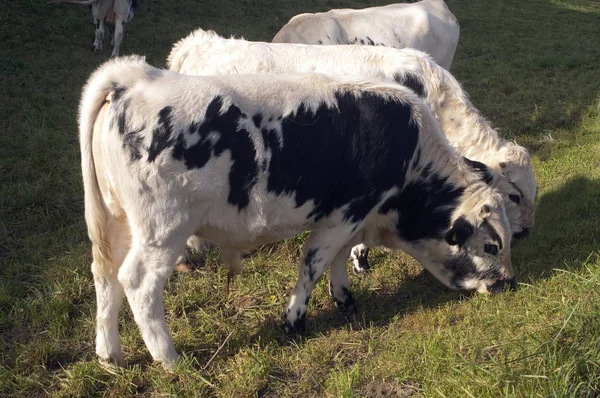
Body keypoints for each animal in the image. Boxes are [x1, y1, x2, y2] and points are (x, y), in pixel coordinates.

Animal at [79, 56, 512, 370]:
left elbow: (338, 259)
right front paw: (295, 321)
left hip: (117, 223)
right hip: (163, 231)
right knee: (138, 283)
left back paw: (110, 355)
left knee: (105, 277)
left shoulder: (349, 218)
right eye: (492, 246)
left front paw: (345, 301)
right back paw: (170, 359)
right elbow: (313, 265)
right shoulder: (345, 213)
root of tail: (134, 78)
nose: (507, 283)